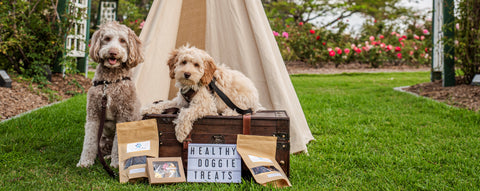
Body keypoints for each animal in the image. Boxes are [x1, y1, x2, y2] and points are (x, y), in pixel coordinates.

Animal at [78, 22, 260, 169]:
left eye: (196, 65)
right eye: (183, 62)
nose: (186, 74)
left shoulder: (205, 106)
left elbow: (186, 113)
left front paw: (180, 132)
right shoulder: (179, 101)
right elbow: (163, 104)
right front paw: (147, 108)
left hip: (238, 103)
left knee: (239, 110)